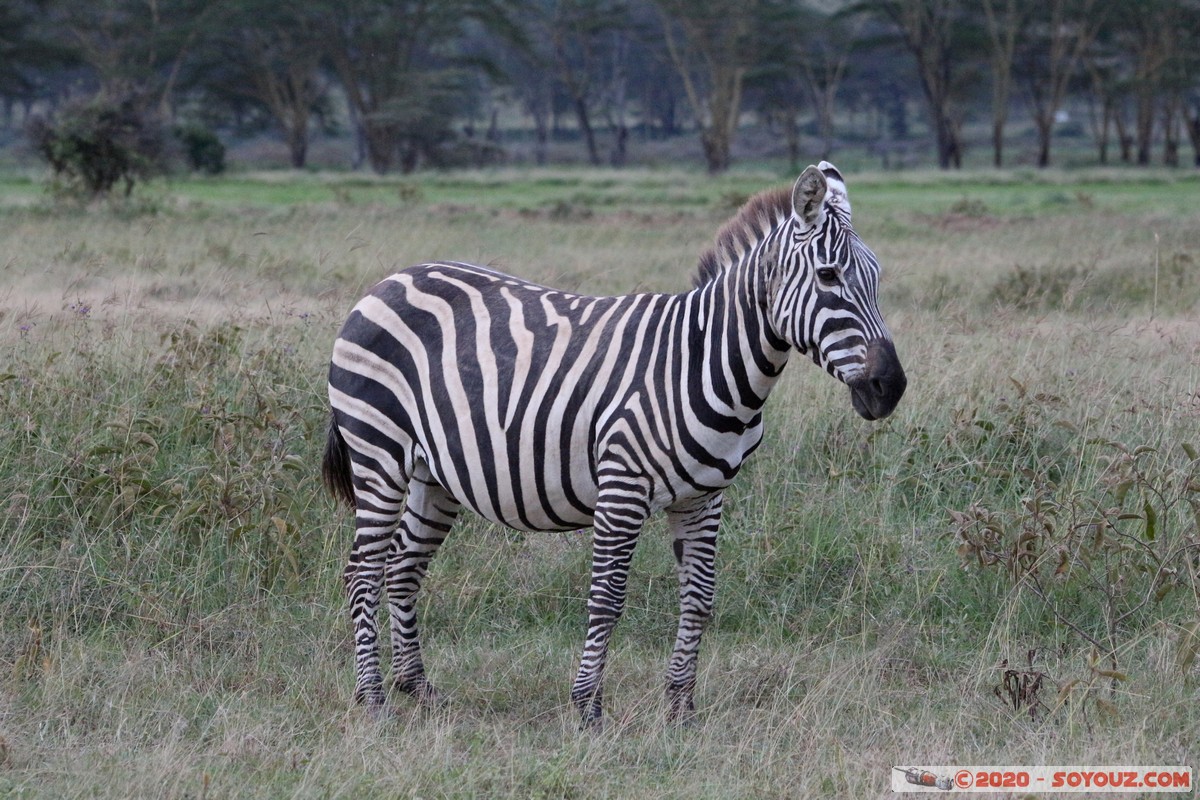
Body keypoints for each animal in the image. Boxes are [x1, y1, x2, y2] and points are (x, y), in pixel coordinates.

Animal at [324, 160, 902, 724]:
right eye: (828, 276)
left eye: (877, 278)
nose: (890, 387)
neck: (702, 361)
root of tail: (389, 281)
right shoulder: (622, 486)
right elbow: (607, 598)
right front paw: (588, 708)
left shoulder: (705, 497)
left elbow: (699, 598)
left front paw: (681, 710)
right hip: (378, 453)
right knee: (362, 572)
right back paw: (373, 701)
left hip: (434, 473)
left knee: (403, 568)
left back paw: (418, 690)